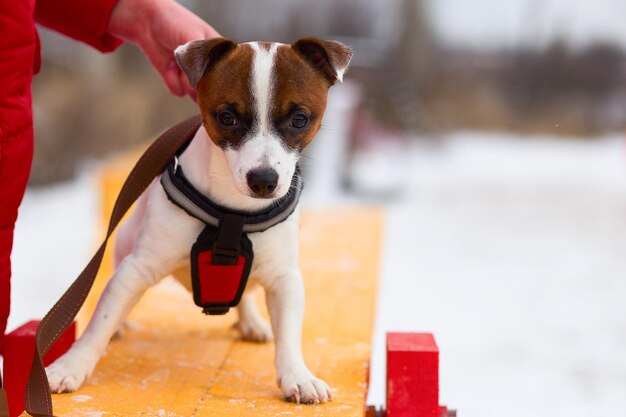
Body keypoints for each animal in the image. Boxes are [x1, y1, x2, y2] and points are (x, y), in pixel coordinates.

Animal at [45, 38, 352, 404]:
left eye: (300, 119)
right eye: (227, 117)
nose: (264, 180)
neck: (233, 212)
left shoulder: (284, 278)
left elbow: (289, 333)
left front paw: (298, 375)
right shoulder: (136, 269)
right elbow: (100, 321)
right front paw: (71, 365)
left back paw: (251, 321)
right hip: (124, 247)